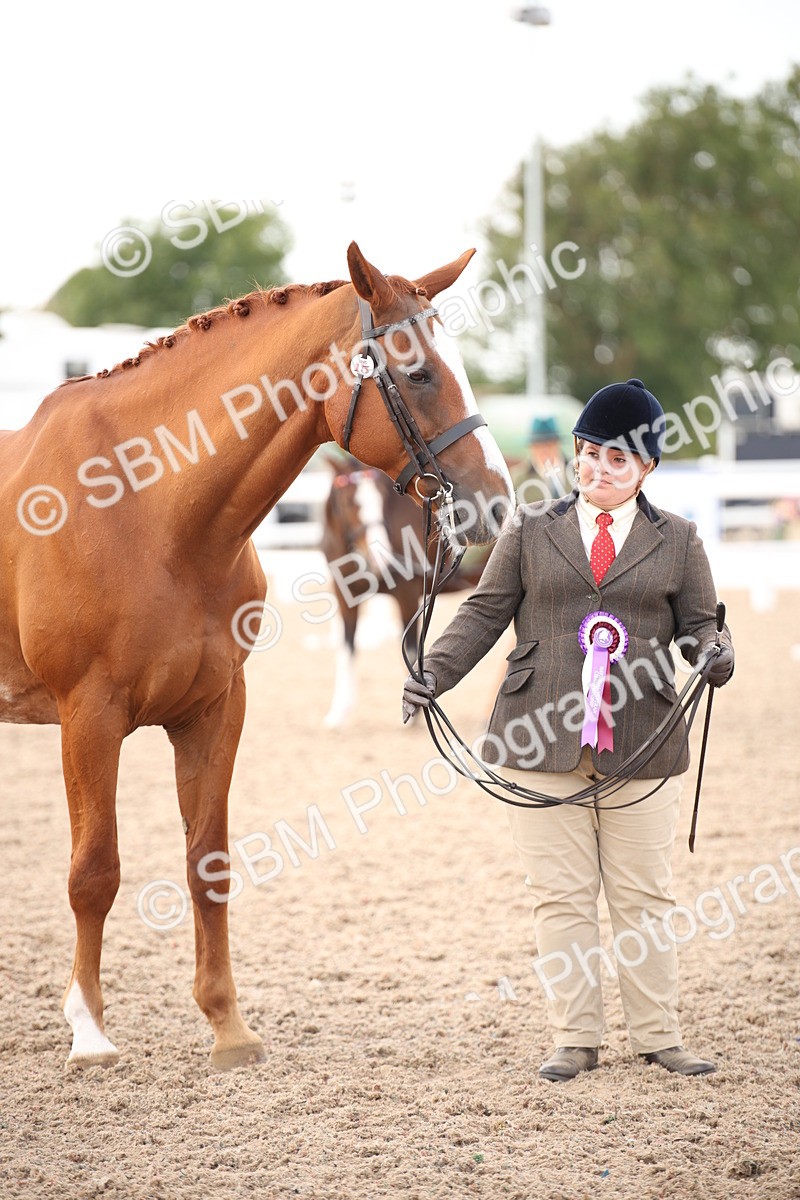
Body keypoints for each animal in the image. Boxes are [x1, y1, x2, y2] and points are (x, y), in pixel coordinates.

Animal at [320, 459, 491, 727]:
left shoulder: (408, 595)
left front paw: (416, 711)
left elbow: (410, 648)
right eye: (349, 502)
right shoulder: (344, 595)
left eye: (381, 498)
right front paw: (339, 712)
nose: (379, 557)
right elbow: (347, 648)